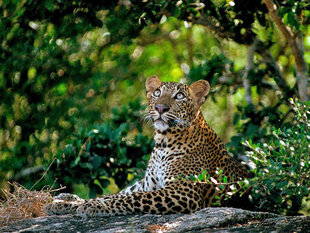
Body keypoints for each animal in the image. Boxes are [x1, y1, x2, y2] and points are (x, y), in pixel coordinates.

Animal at [46, 76, 252, 217]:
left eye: (179, 96)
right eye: (157, 93)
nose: (161, 108)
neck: (163, 143)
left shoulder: (182, 192)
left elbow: (129, 199)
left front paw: (94, 206)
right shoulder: (147, 185)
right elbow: (114, 195)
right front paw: (67, 203)